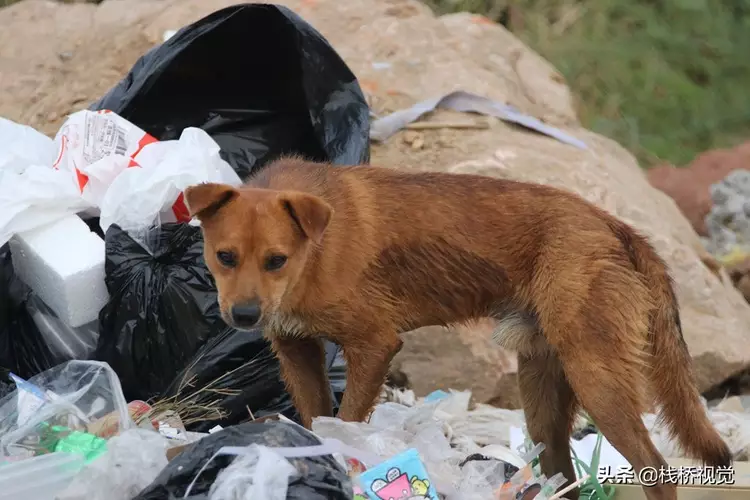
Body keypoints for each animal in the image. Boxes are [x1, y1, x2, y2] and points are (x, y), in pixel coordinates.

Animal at [187, 157, 736, 500]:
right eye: (225, 257)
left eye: (276, 260)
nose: (244, 316)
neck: (314, 248)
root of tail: (613, 225)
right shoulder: (297, 348)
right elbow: (318, 418)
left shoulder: (374, 344)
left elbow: (349, 420)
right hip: (543, 399)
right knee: (565, 477)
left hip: (598, 381)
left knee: (658, 473)